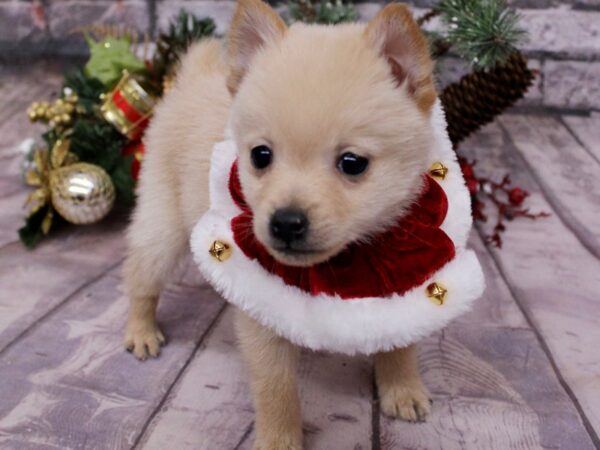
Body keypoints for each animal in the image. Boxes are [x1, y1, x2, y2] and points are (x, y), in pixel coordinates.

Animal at [125, 1, 436, 448]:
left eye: (352, 163)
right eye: (260, 155)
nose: (286, 222)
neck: (342, 264)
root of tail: (191, 79)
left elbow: (401, 343)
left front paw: (402, 387)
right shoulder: (263, 315)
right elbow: (276, 387)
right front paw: (280, 438)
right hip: (162, 226)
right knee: (141, 277)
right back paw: (141, 330)